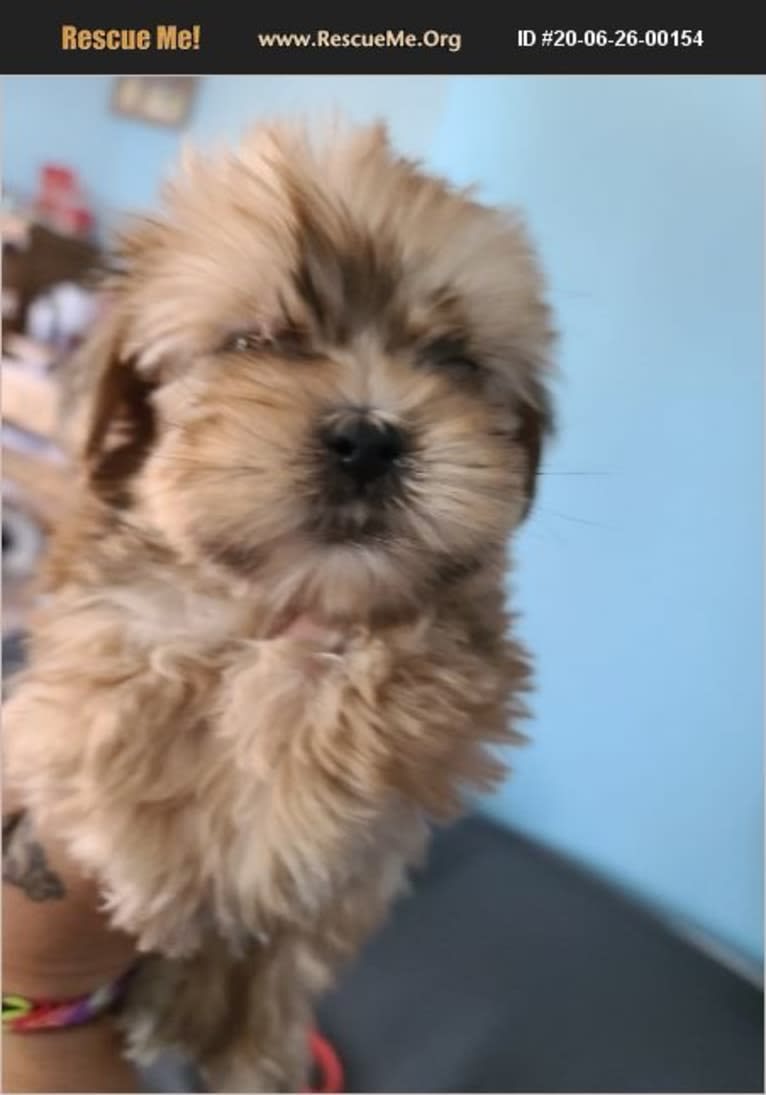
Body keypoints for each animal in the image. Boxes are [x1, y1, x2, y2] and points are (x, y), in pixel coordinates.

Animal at [0, 124, 551, 1090]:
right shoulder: (94, 638)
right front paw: (164, 866)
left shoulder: (438, 716)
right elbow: (134, 699)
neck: (292, 599)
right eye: (255, 340)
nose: (368, 437)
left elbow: (344, 724)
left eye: (452, 360)